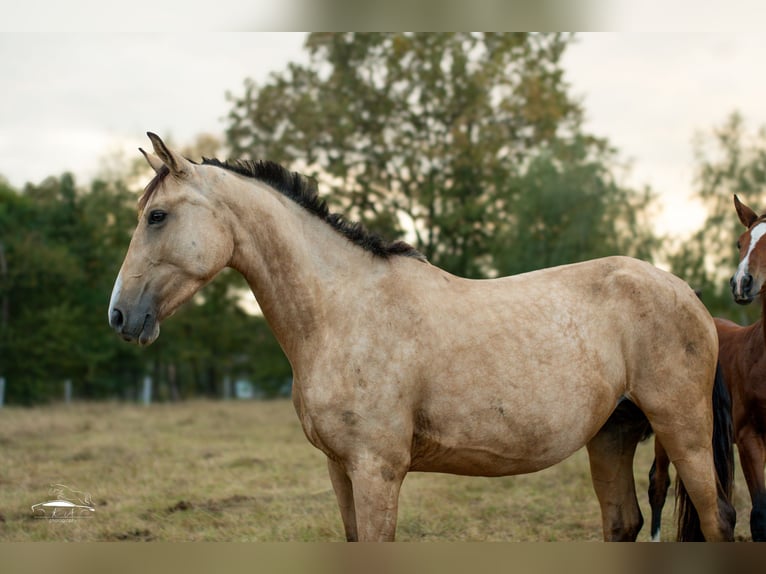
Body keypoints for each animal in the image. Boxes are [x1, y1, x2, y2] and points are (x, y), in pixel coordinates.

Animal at [108, 133, 735, 541]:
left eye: (157, 216)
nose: (119, 316)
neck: (344, 310)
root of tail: (686, 291)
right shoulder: (340, 469)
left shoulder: (377, 470)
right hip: (611, 435)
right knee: (624, 523)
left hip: (684, 430)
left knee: (716, 517)